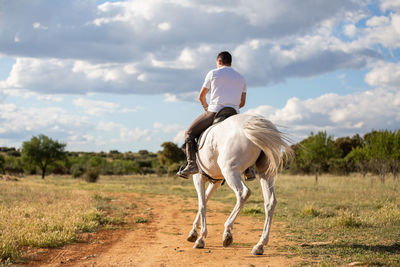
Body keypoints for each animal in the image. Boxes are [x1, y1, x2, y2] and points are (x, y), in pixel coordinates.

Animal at [184, 113, 290, 255]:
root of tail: (255, 123)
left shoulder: (198, 177)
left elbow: (202, 204)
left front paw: (200, 238)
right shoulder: (216, 181)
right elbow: (205, 200)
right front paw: (193, 233)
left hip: (230, 171)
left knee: (243, 193)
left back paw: (227, 232)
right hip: (265, 173)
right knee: (270, 201)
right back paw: (259, 245)